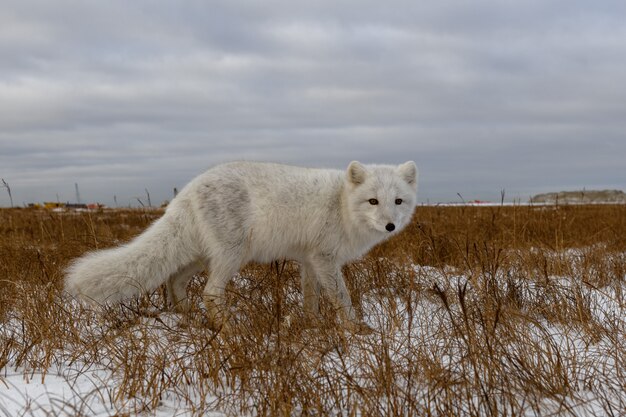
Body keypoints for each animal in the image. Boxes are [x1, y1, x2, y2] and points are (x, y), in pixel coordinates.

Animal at [63, 161, 416, 330]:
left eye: (398, 201)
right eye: (373, 201)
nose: (390, 225)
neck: (342, 204)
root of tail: (187, 189)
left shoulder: (309, 261)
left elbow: (310, 298)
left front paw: (312, 325)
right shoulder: (325, 259)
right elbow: (341, 297)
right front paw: (356, 329)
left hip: (202, 256)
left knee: (173, 281)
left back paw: (187, 318)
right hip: (232, 256)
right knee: (209, 293)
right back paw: (229, 332)